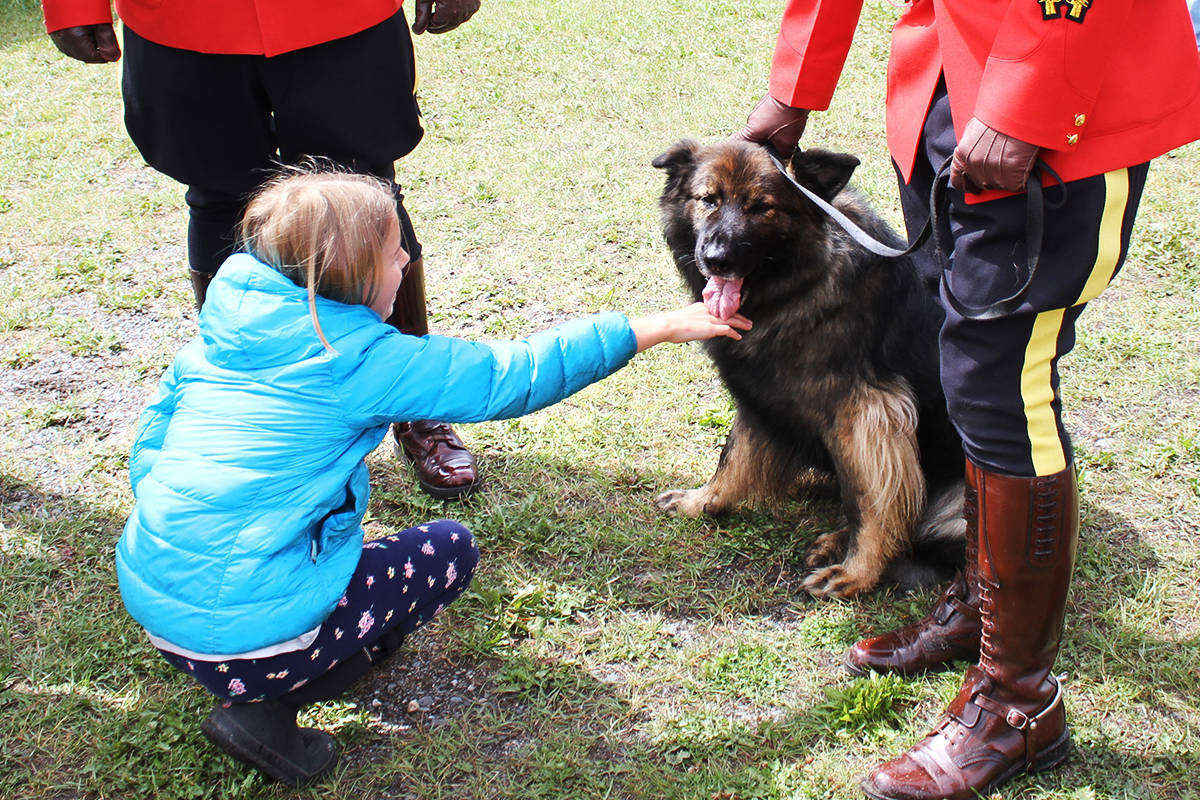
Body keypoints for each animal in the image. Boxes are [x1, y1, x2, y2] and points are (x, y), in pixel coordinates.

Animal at [652, 140, 969, 597]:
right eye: (708, 199)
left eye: (761, 207)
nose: (716, 260)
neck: (797, 283)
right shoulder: (759, 395)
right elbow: (733, 456)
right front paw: (703, 501)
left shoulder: (868, 415)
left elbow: (869, 501)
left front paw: (857, 572)